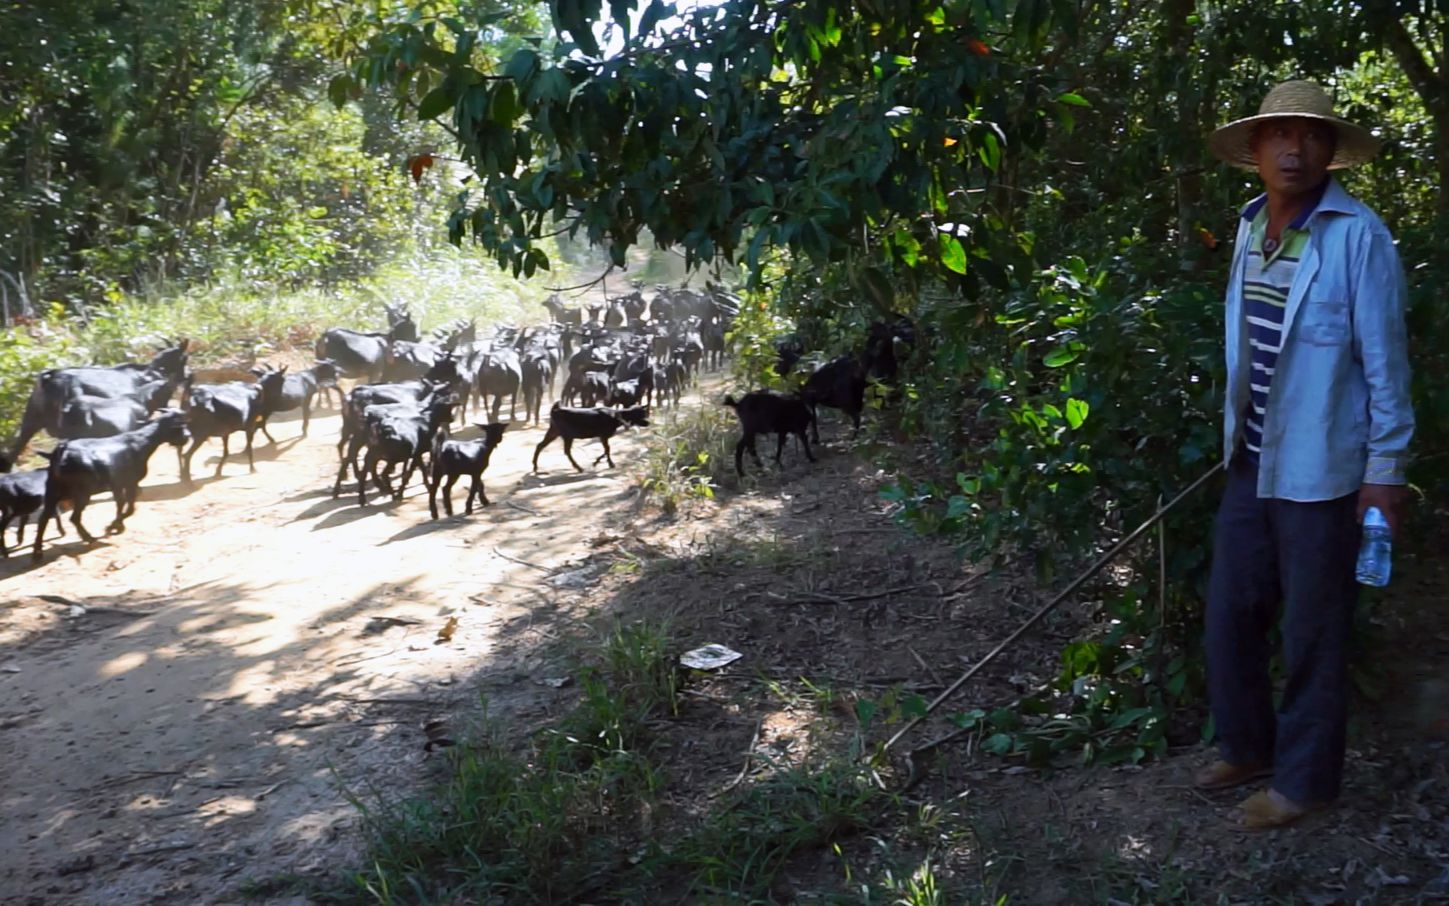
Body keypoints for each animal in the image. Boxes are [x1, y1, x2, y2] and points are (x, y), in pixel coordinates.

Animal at [32, 408, 191, 562]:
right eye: (180, 425)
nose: (188, 436)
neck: (140, 442)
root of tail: (62, 450)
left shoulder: (117, 485)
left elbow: (120, 503)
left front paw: (117, 526)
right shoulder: (131, 482)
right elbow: (130, 508)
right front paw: (112, 526)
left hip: (53, 492)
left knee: (44, 519)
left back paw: (37, 552)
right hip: (82, 493)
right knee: (73, 517)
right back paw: (89, 538)